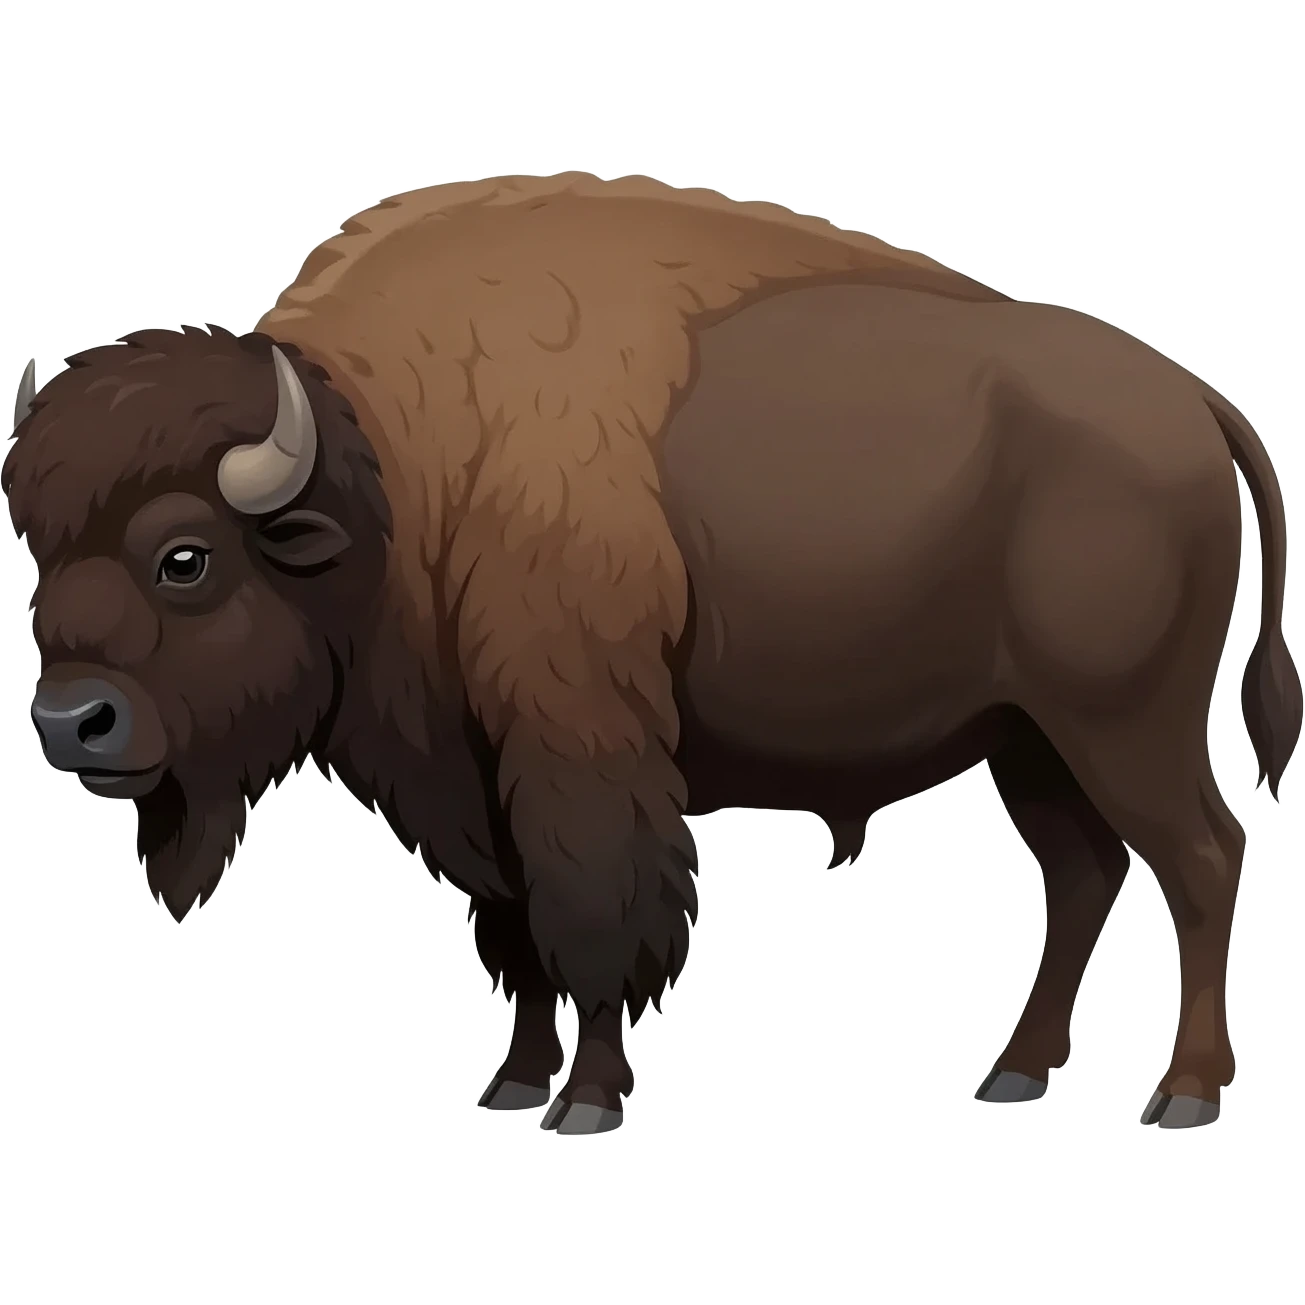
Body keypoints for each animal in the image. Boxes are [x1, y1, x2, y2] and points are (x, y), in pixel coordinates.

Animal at [4, 172, 1299, 1134]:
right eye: (36, 553)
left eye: (184, 558)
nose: (73, 723)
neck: (390, 471)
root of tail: (1192, 404)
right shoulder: (473, 772)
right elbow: (512, 930)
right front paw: (511, 1083)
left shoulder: (576, 750)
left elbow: (594, 919)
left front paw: (585, 1101)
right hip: (1027, 740)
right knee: (1083, 875)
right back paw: (1015, 1074)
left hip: (1125, 725)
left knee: (1202, 858)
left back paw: (1181, 1095)